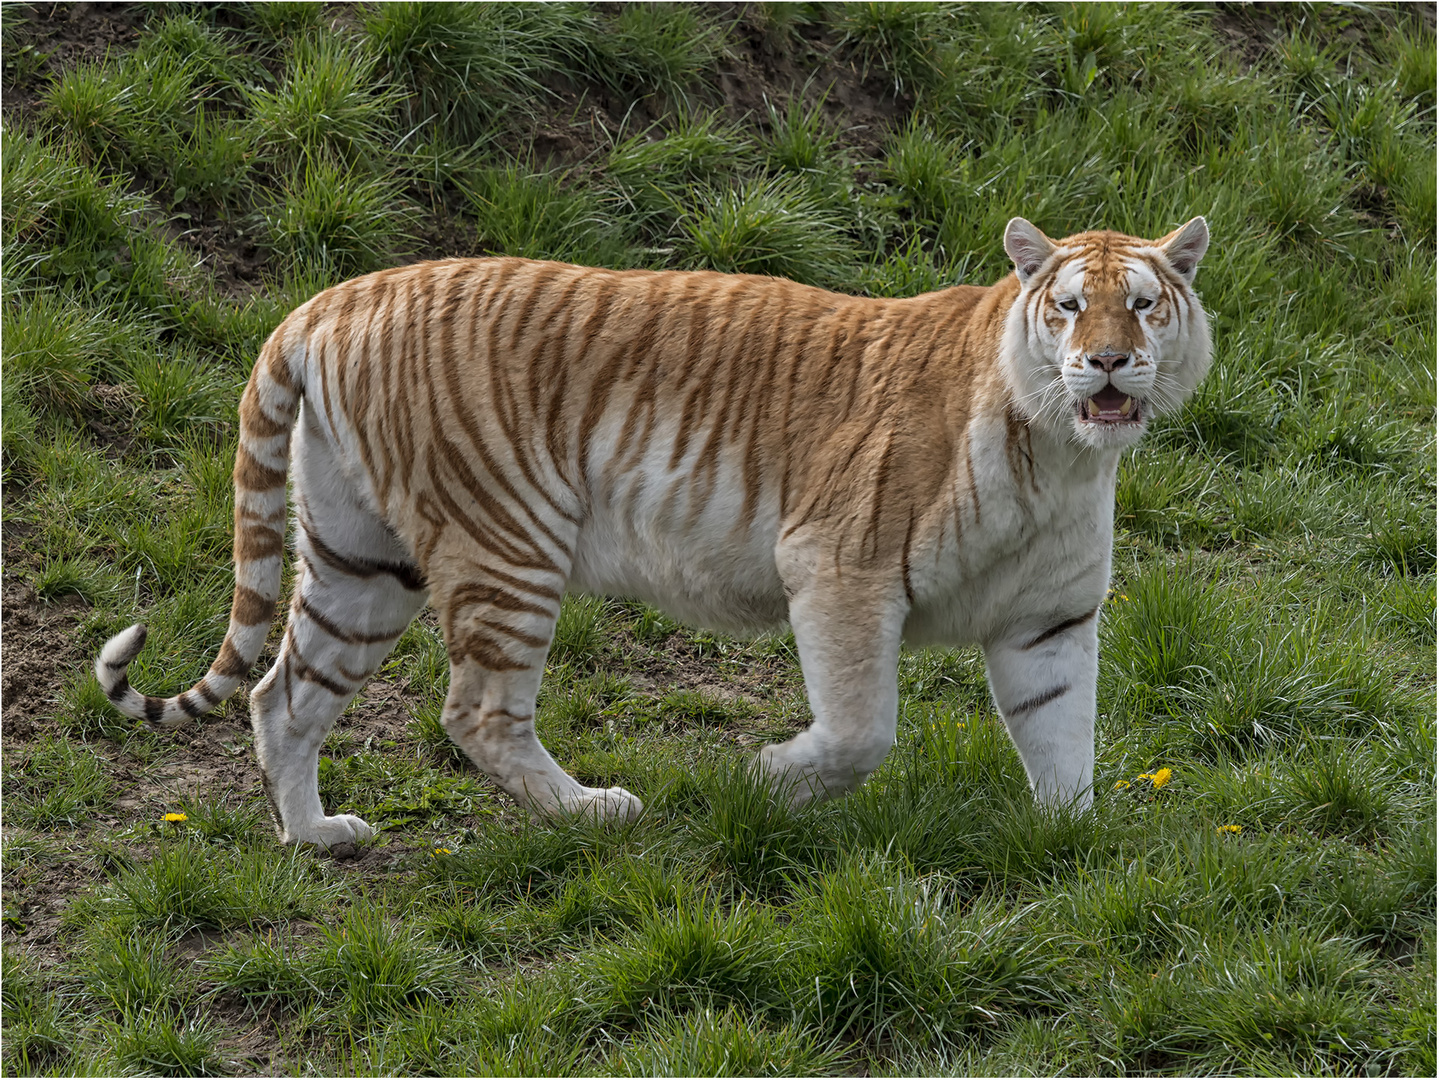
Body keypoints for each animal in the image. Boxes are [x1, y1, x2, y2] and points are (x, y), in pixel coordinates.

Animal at [95, 217, 1208, 845]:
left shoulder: (1048, 621)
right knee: (476, 713)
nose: (1108, 361)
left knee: (284, 694)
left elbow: (1063, 739)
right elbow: (859, 732)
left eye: (1141, 305)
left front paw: (1069, 851)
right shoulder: (840, 570)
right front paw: (760, 780)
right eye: (1069, 307)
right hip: (508, 543)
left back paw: (315, 837)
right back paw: (593, 811)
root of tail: (324, 301)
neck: (1061, 453)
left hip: (361, 558)